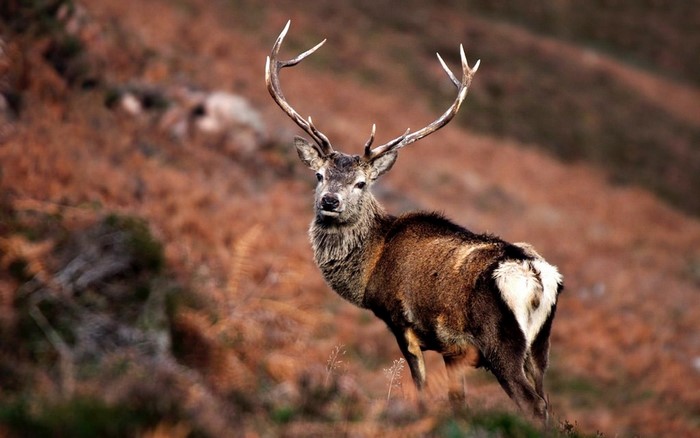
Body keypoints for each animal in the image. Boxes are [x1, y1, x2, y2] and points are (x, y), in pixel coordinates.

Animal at [265, 21, 563, 423]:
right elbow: (458, 402)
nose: (330, 201)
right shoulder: (454, 349)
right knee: (546, 400)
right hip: (540, 346)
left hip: (501, 341)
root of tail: (537, 276)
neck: (370, 267)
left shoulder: (401, 320)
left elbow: (421, 388)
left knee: (532, 405)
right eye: (319, 175)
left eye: (361, 183)